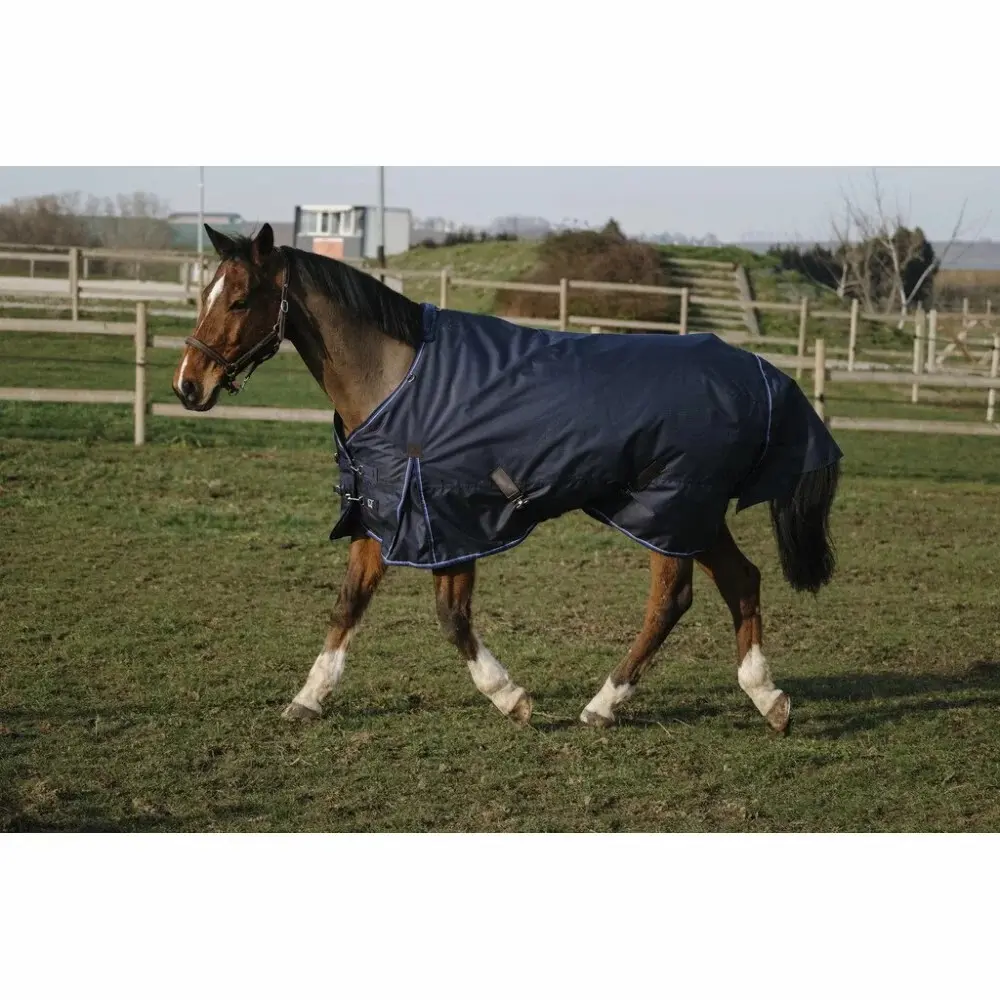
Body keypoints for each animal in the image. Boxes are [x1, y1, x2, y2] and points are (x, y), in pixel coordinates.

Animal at [173, 223, 842, 735]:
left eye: (238, 300)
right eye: (203, 293)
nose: (188, 385)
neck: (400, 381)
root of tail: (760, 373)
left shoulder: (449, 523)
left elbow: (451, 618)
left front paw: (510, 697)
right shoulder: (382, 512)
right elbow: (348, 605)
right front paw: (309, 698)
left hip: (669, 511)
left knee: (671, 601)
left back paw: (604, 704)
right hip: (689, 514)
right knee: (742, 581)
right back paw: (767, 699)